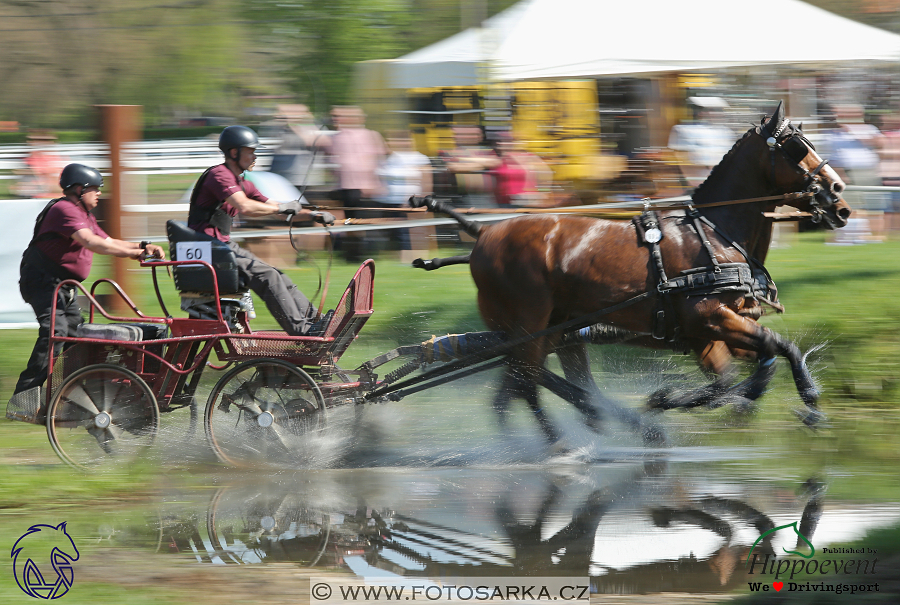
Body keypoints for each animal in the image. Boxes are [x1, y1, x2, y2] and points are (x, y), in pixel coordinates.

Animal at [414, 102, 852, 444]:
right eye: (798, 147)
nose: (838, 194)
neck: (715, 233)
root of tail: (484, 232)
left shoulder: (710, 333)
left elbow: (760, 360)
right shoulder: (709, 318)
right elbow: (774, 350)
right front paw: (806, 402)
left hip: (554, 329)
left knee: (525, 385)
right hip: (528, 325)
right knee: (525, 383)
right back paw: (558, 446)